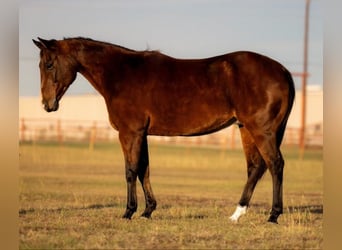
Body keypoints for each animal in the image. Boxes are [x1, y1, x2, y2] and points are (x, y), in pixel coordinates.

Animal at [32, 36, 294, 223]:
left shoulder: (130, 133)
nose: (47, 104)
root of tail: (282, 71)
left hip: (261, 131)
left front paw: (128, 212)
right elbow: (144, 171)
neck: (121, 74)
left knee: (275, 164)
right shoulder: (142, 134)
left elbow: (130, 171)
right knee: (256, 167)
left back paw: (273, 215)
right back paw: (237, 214)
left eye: (49, 64)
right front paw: (148, 211)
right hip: (246, 129)